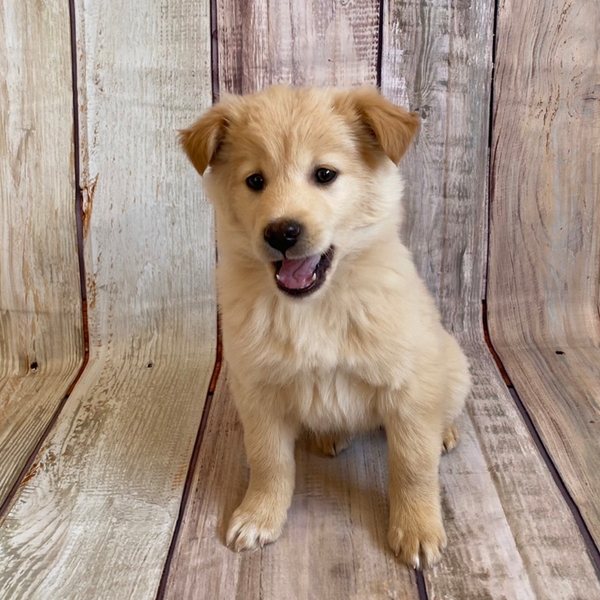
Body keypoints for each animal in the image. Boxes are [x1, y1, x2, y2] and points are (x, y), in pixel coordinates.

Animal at [181, 86, 471, 569]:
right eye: (255, 181)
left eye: (325, 174)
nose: (281, 232)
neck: (314, 307)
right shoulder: (256, 391)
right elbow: (268, 461)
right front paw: (259, 515)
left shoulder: (409, 387)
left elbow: (412, 465)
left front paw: (416, 528)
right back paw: (330, 436)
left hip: (452, 361)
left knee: (443, 411)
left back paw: (445, 433)